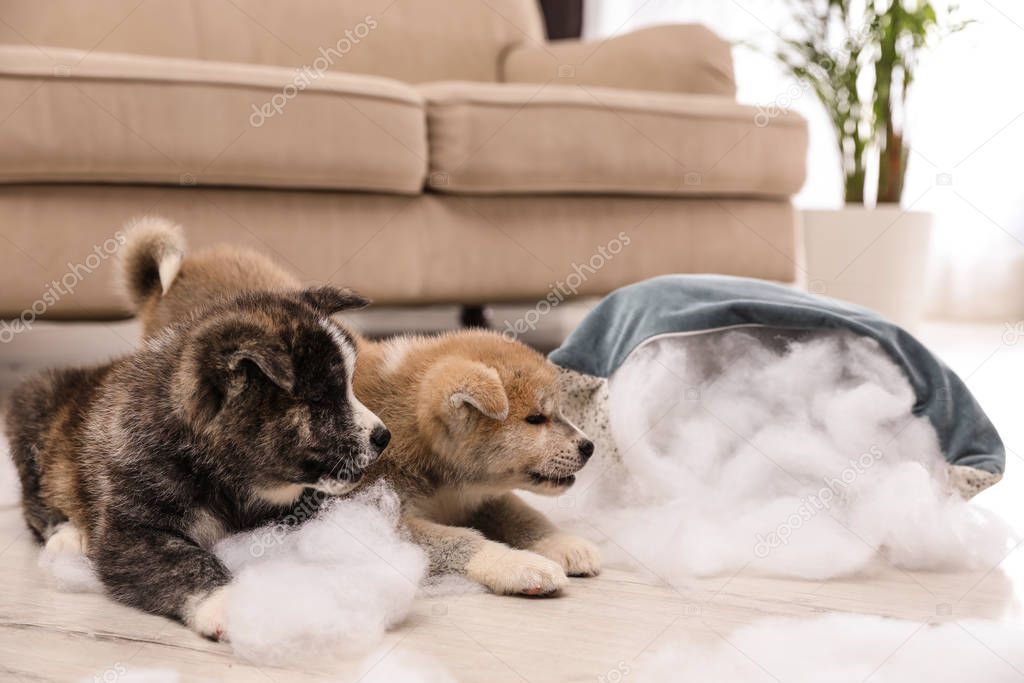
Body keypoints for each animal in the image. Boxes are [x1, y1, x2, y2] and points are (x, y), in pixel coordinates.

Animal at [4, 286, 387, 638]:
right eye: (319, 400)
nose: (384, 437)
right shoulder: (133, 532)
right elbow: (186, 562)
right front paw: (224, 603)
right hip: (32, 413)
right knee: (36, 504)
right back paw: (68, 535)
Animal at [118, 218, 598, 593]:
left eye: (559, 412)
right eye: (536, 419)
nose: (589, 446)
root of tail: (176, 278)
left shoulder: (479, 497)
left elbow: (525, 515)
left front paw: (564, 544)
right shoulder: (374, 514)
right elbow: (461, 541)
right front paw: (519, 564)